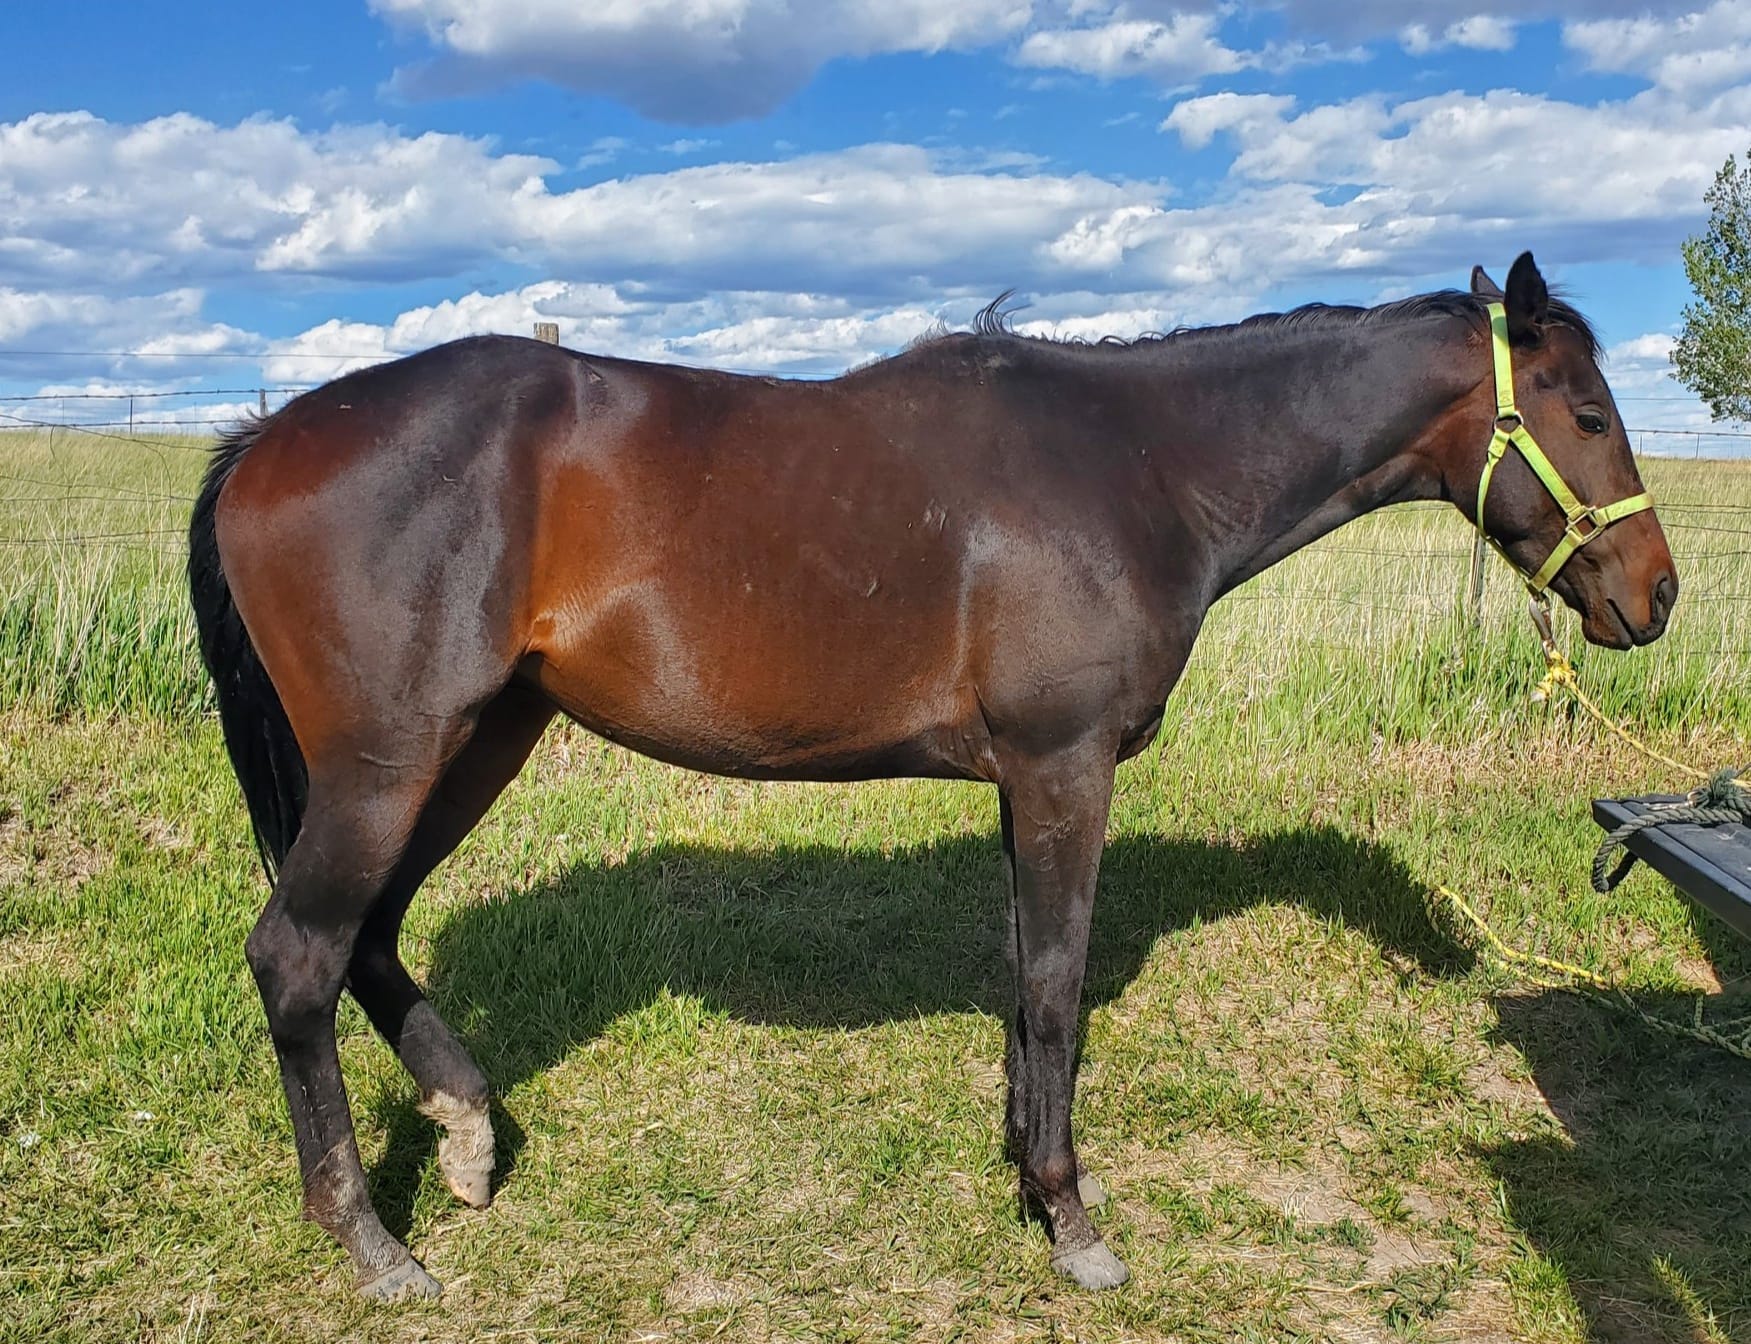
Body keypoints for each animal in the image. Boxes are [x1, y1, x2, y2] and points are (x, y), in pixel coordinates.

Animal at [188, 253, 1676, 1299]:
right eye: (1588, 411)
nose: (1654, 597)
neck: (1137, 469)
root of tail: (269, 438)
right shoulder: (1065, 771)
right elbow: (1056, 988)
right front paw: (1071, 1219)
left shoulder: (1024, 784)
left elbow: (1022, 986)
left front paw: (1025, 1182)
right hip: (389, 761)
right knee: (298, 958)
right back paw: (372, 1243)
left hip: (474, 741)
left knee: (368, 935)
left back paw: (463, 1126)